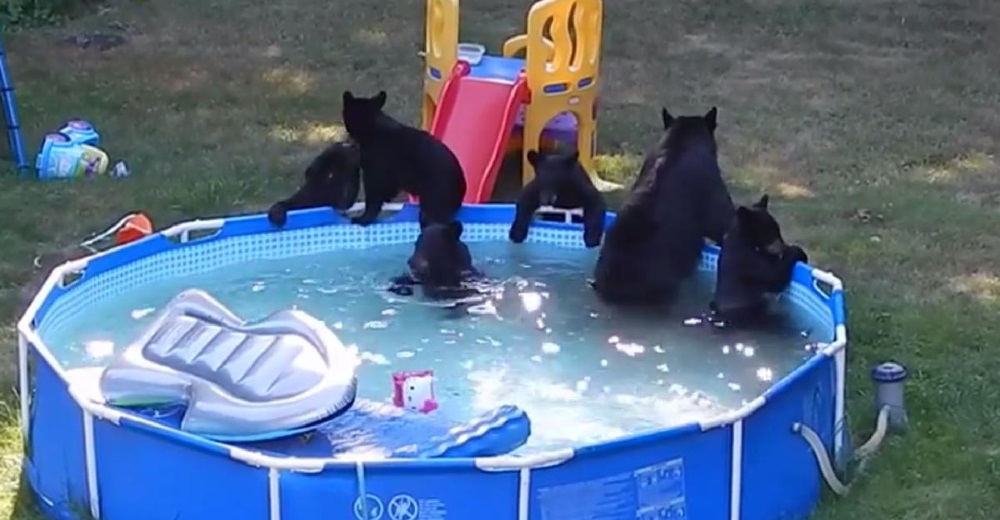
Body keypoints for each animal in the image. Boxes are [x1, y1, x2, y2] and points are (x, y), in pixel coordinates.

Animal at [340, 91, 464, 228]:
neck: (373, 125)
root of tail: (462, 187)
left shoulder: (375, 173)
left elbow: (373, 200)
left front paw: (363, 219)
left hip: (435, 200)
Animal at [708, 195, 808, 330]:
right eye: (768, 232)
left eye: (778, 229)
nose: (781, 246)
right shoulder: (747, 260)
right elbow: (774, 276)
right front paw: (796, 251)